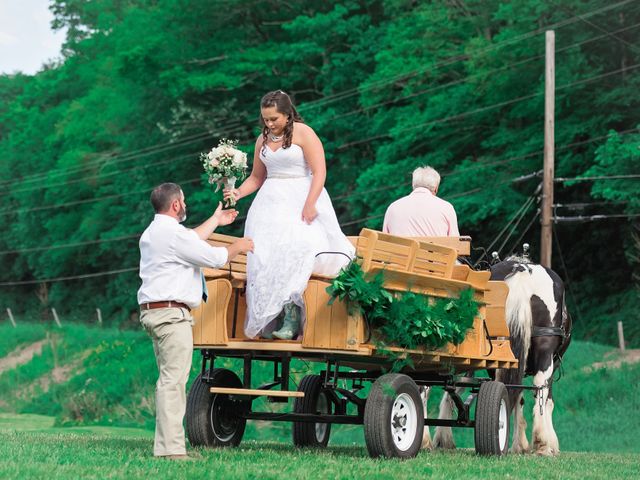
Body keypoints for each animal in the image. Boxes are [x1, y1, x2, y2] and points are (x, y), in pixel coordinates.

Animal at [422, 253, 572, 456]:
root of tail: (522, 270)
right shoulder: (553, 363)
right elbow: (546, 399)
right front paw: (545, 443)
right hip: (544, 352)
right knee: (539, 386)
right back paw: (542, 443)